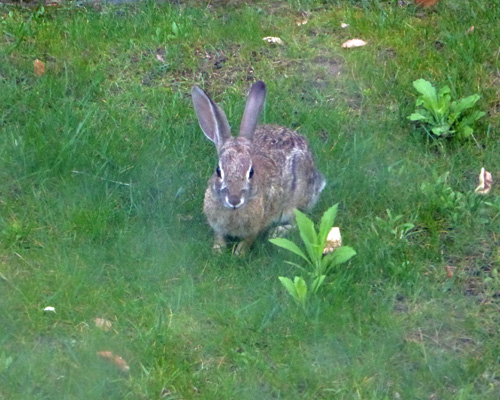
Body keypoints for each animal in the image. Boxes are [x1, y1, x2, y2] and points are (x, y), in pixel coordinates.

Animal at [190, 81, 324, 255]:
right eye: (218, 171)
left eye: (250, 172)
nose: (234, 200)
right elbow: (218, 235)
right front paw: (218, 250)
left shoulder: (259, 223)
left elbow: (250, 238)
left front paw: (240, 253)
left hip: (297, 201)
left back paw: (277, 231)